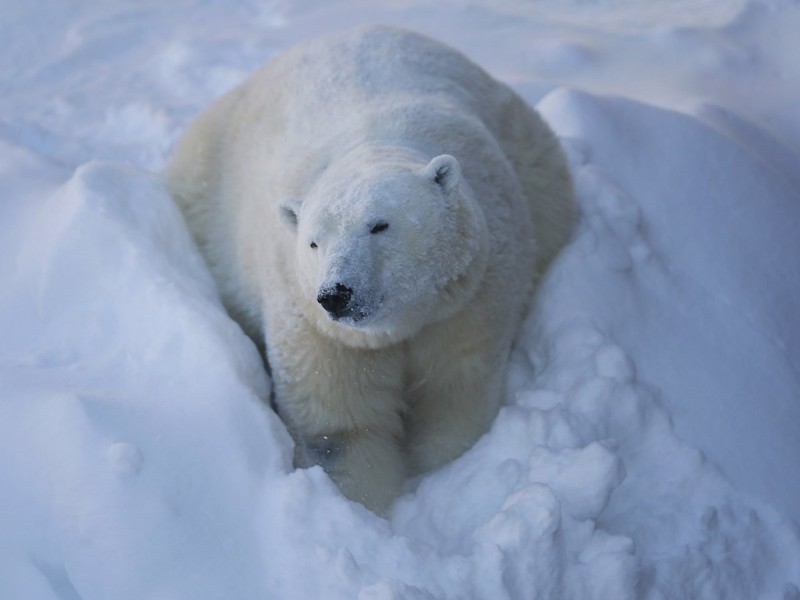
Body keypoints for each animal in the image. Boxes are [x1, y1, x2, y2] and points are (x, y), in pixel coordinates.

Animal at [164, 25, 576, 512]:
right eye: (314, 241)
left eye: (380, 225)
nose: (336, 294)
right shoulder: (318, 327)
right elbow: (340, 425)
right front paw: (366, 503)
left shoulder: (468, 296)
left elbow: (455, 389)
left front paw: (435, 467)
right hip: (204, 186)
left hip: (531, 153)